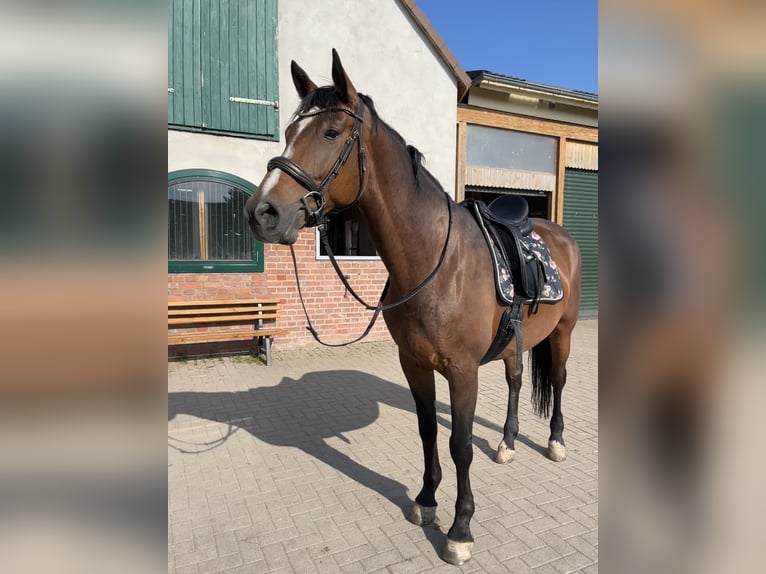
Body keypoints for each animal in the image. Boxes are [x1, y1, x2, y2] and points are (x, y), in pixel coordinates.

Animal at [246, 50, 584, 568]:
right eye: (288, 131)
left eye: (331, 133)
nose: (262, 212)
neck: (432, 263)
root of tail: (559, 234)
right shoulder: (415, 364)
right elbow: (428, 433)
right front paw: (426, 501)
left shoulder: (463, 371)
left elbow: (460, 444)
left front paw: (460, 529)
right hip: (515, 343)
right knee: (514, 381)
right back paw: (507, 443)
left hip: (563, 333)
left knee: (560, 382)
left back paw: (555, 442)